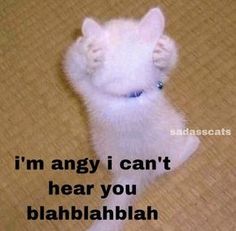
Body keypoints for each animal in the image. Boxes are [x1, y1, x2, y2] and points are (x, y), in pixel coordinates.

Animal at [64, 7, 199, 231]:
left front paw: (164, 53)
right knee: (169, 164)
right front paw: (87, 54)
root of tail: (132, 174)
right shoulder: (88, 88)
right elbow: (72, 68)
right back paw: (192, 143)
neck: (125, 97)